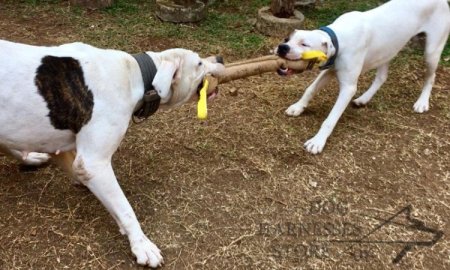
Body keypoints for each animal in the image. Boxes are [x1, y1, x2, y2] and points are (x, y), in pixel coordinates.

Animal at [0, 39, 225, 266]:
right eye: (198, 63)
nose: (220, 58)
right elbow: (125, 208)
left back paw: (31, 157)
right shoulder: (93, 164)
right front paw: (141, 243)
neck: (135, 74)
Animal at [278, 0, 450, 154]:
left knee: (431, 77)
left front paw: (318, 141)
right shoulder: (330, 71)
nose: (282, 47)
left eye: (304, 44)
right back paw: (364, 99)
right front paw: (298, 107)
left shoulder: (348, 88)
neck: (339, 38)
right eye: (287, 39)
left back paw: (422, 102)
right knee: (382, 77)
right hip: (387, 51)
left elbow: (330, 119)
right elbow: (310, 89)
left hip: (431, 53)